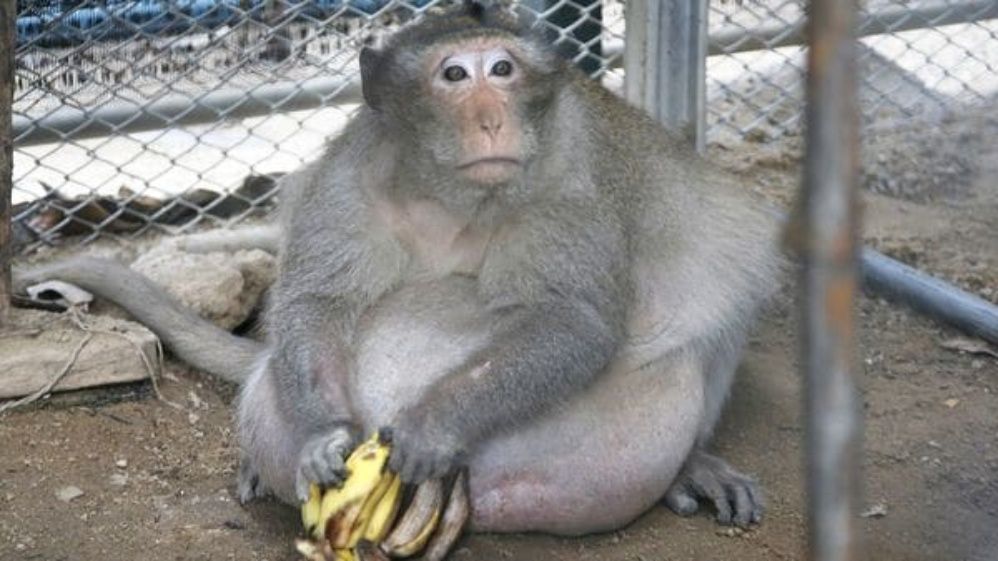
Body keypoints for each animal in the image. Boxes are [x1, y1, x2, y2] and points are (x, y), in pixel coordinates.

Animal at [13, 0, 780, 532]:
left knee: (725, 259)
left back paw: (691, 462)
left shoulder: (569, 180)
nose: (492, 119)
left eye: (503, 69)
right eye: (455, 75)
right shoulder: (349, 179)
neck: (452, 193)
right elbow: (317, 303)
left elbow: (574, 321)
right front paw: (322, 438)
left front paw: (434, 424)